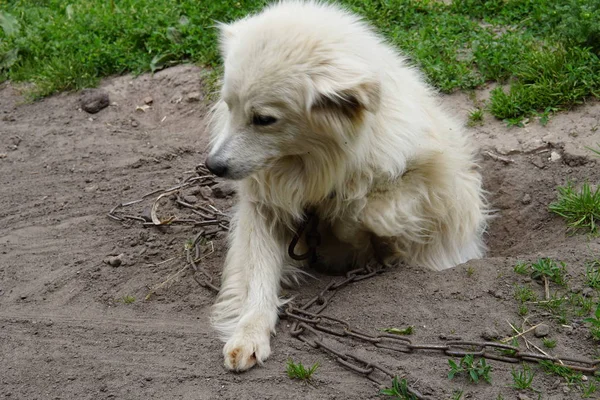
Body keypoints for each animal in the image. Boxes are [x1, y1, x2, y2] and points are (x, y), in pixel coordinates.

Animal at [205, 0, 488, 372]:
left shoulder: (433, 190)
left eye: (264, 119)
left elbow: (366, 210)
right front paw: (249, 335)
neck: (316, 163)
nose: (213, 166)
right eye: (229, 105)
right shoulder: (263, 204)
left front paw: (347, 234)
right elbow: (257, 273)